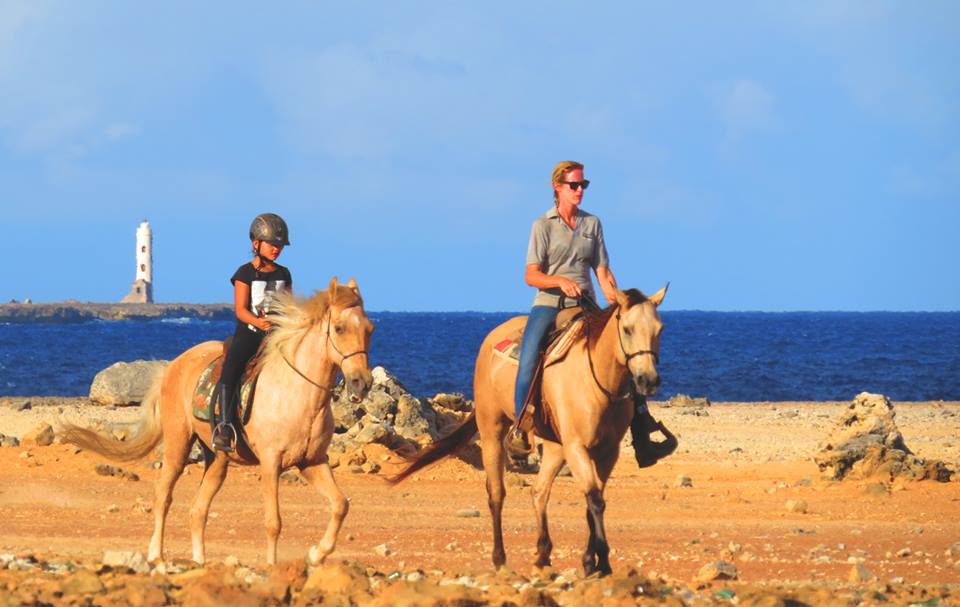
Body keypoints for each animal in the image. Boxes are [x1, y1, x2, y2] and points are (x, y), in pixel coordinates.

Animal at [60, 277, 374, 566]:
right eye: (339, 328)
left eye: (369, 329)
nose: (362, 383)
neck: (297, 394)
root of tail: (173, 365)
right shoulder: (271, 463)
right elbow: (273, 522)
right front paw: (273, 568)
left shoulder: (311, 462)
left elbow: (340, 505)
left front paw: (315, 554)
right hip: (178, 445)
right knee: (163, 496)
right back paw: (156, 556)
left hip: (218, 459)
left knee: (198, 509)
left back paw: (199, 560)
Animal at [390, 286, 668, 576]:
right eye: (627, 329)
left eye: (659, 329)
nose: (648, 381)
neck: (599, 383)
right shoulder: (576, 447)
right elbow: (594, 499)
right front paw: (601, 561)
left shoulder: (608, 451)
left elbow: (594, 500)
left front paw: (590, 560)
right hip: (493, 432)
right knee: (496, 494)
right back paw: (499, 558)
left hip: (555, 447)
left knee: (539, 491)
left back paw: (543, 552)